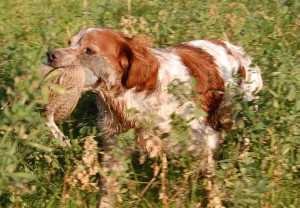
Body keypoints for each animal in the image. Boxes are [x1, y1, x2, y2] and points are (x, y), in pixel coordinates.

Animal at [45, 27, 262, 206]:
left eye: (89, 50)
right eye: (69, 42)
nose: (50, 54)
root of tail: (238, 51)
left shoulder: (203, 141)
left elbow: (209, 184)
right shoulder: (115, 146)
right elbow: (108, 190)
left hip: (236, 116)